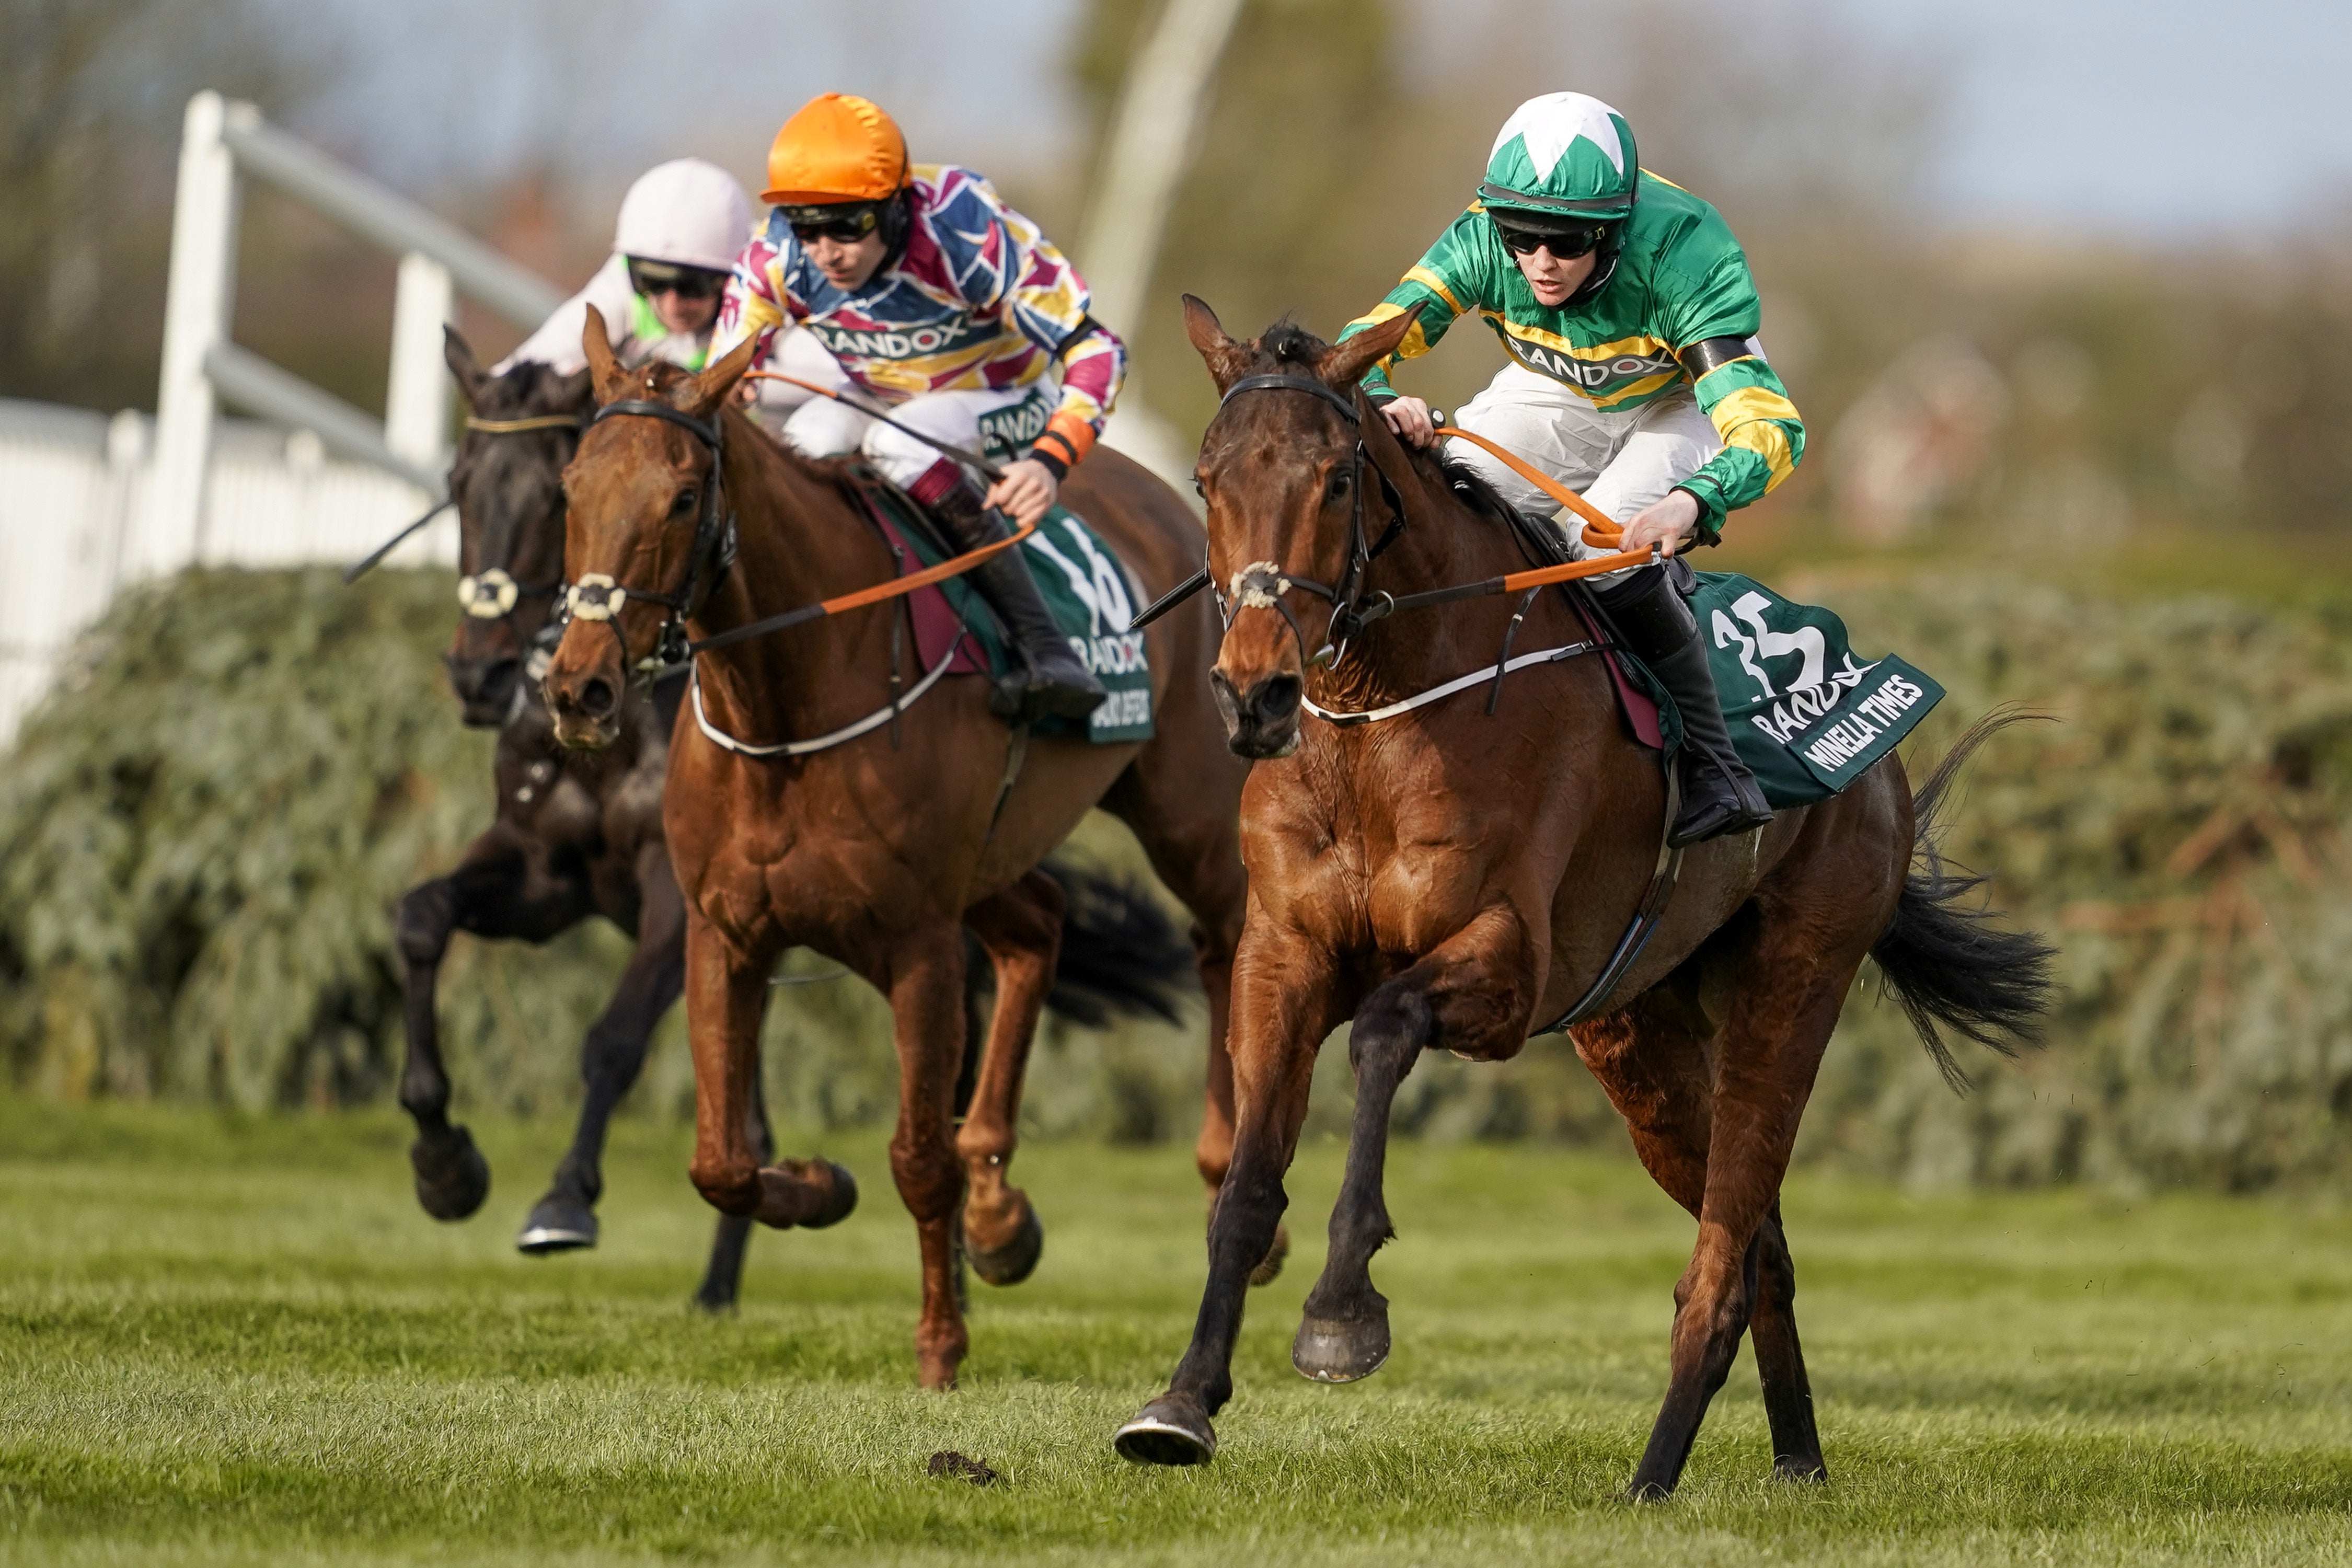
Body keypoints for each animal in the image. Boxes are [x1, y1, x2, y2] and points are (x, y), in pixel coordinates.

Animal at [402, 331, 1195, 1316]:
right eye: (466, 482)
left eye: (682, 498)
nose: (504, 678)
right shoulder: (561, 877)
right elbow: (423, 919)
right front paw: (445, 1163)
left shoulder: (678, 903)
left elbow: (615, 1040)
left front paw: (563, 1202)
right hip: (983, 863)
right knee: (1036, 928)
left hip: (1169, 816)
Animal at [1110, 303, 2051, 1495]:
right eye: (1204, 479)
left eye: (1337, 479)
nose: (1255, 692)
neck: (1382, 713)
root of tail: (1877, 765)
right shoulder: (1282, 956)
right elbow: (1243, 1187)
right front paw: (1182, 1402)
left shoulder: (1507, 966)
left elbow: (1383, 1029)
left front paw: (1341, 1312)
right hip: (1639, 1032)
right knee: (1763, 1248)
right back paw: (1796, 1460)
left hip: (1794, 985)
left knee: (1723, 1260)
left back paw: (1651, 1479)